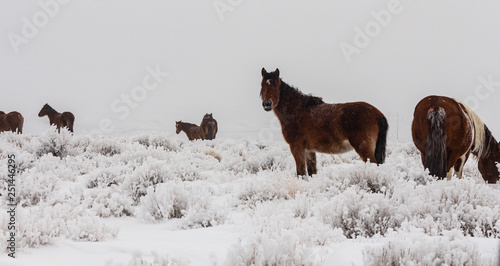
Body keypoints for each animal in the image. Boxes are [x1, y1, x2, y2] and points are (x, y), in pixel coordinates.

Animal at [260, 67, 388, 178]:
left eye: (276, 85)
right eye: (262, 85)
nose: (267, 104)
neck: (296, 110)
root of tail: (378, 114)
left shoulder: (296, 147)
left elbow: (301, 173)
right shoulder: (309, 151)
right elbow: (312, 172)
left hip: (364, 149)